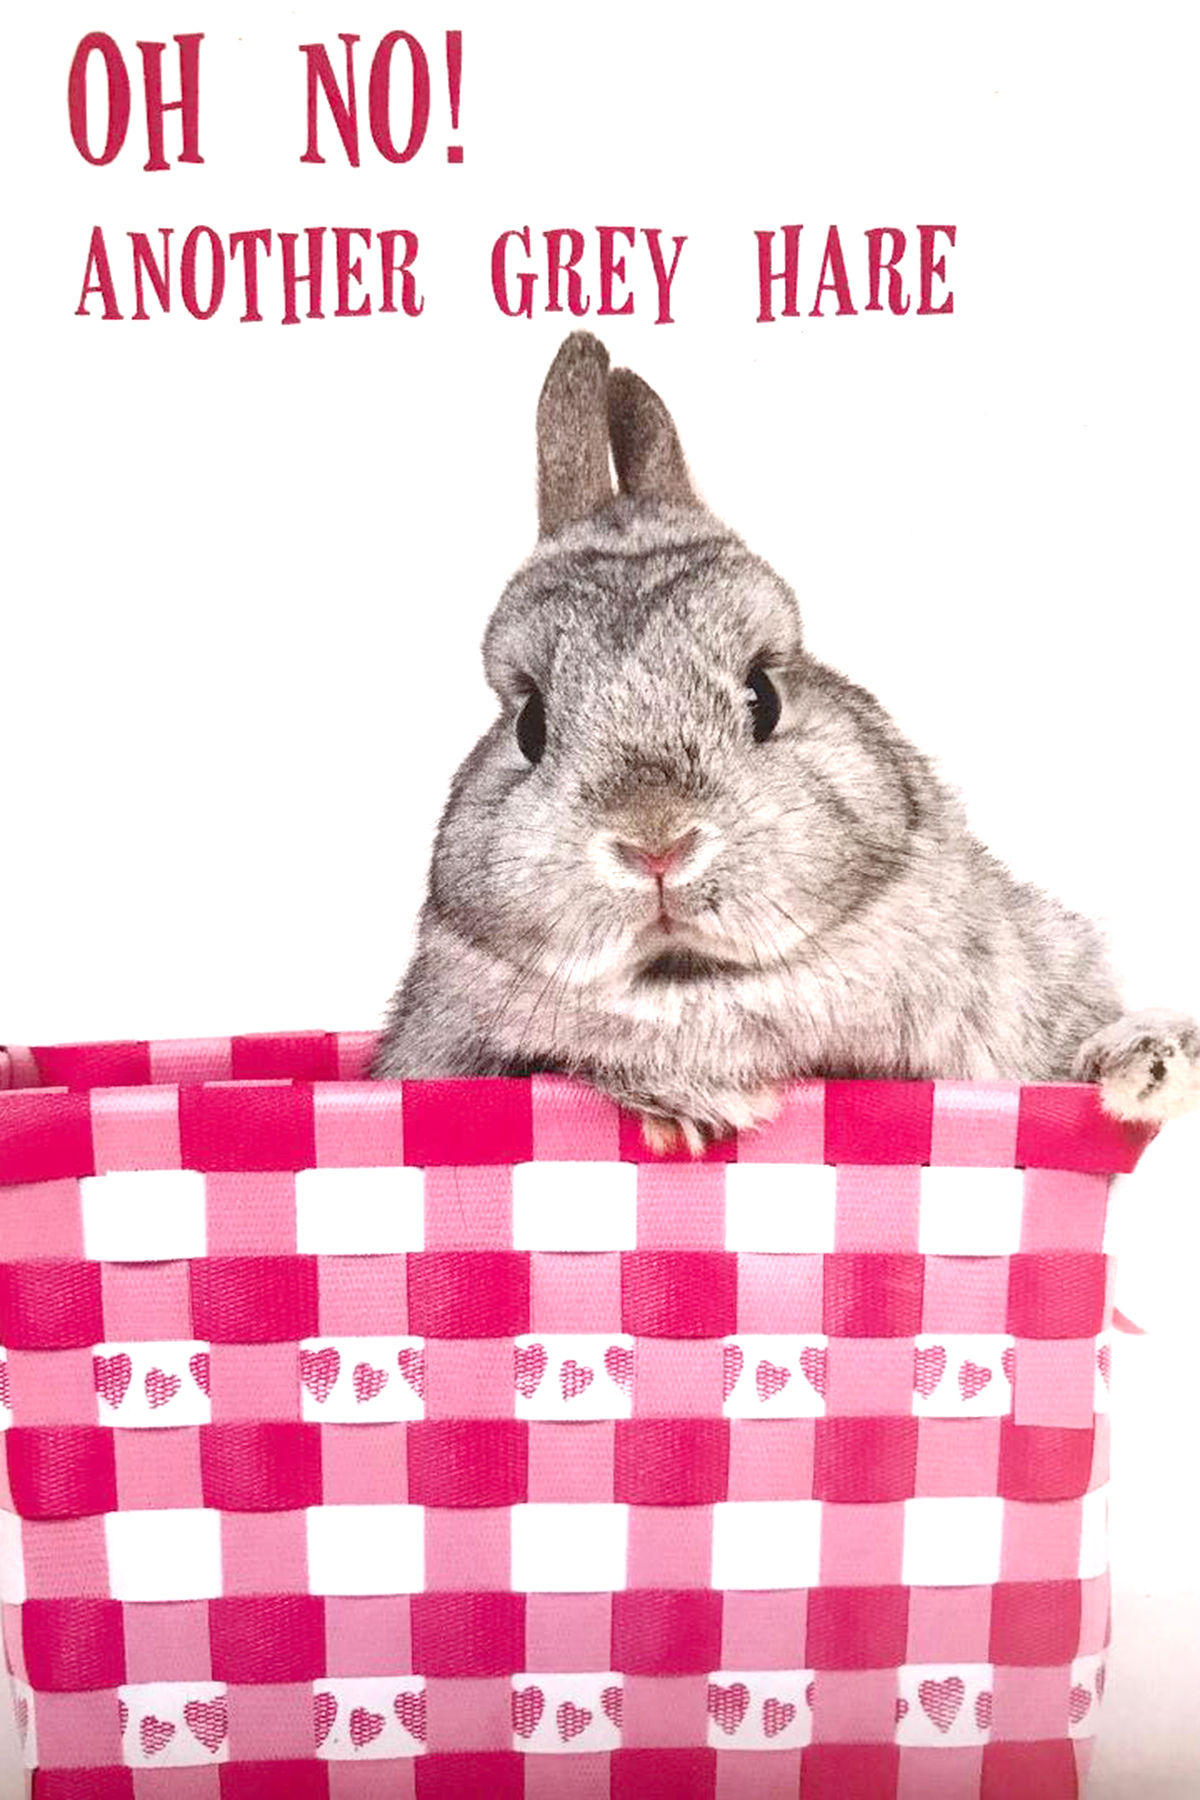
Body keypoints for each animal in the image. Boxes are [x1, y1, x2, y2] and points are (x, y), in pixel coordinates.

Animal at [371, 331, 1200, 1152]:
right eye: (531, 725)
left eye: (763, 696)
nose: (656, 845)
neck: (693, 988)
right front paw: (692, 1104)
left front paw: (1154, 1063)